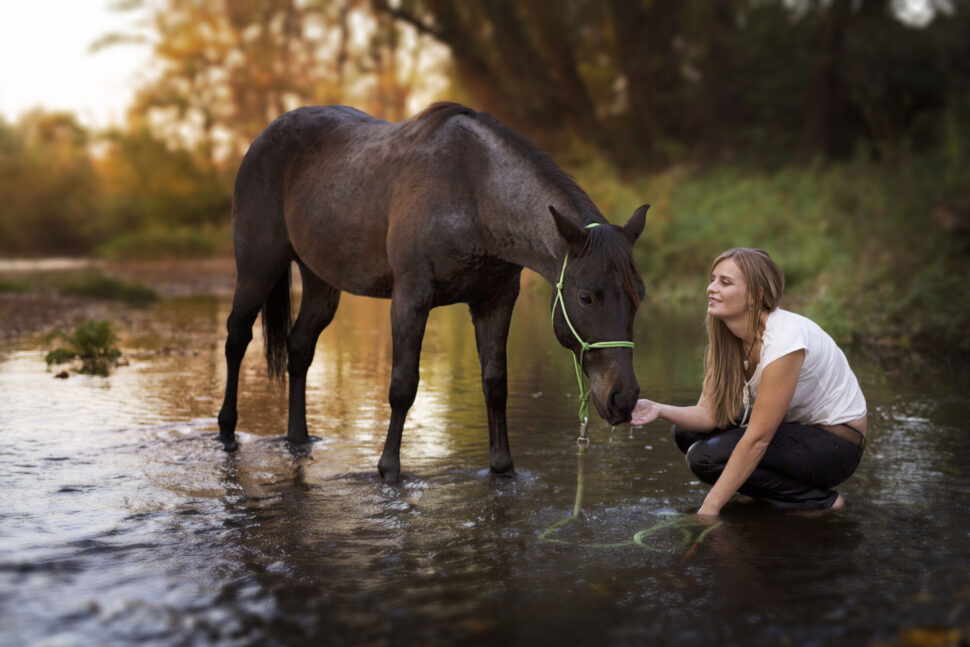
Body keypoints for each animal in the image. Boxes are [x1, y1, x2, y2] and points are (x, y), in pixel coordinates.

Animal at [216, 102, 648, 480]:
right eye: (586, 296)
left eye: (638, 297)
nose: (623, 400)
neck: (474, 192)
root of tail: (263, 137)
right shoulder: (411, 300)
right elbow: (403, 386)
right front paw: (388, 469)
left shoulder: (495, 300)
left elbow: (496, 383)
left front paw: (502, 466)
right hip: (258, 267)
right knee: (237, 338)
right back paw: (226, 431)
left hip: (321, 283)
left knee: (300, 347)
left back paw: (299, 438)